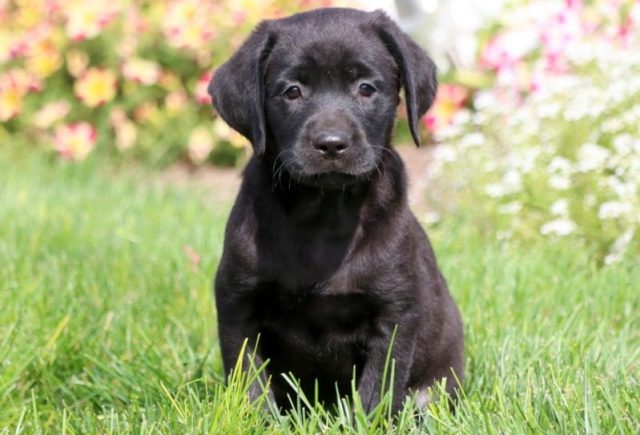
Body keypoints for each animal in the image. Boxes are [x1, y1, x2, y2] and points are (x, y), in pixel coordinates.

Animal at [210, 7, 464, 416]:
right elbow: (249, 383)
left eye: (366, 88)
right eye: (292, 91)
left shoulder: (393, 314)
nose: (331, 144)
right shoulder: (237, 304)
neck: (323, 215)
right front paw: (256, 419)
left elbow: (376, 393)